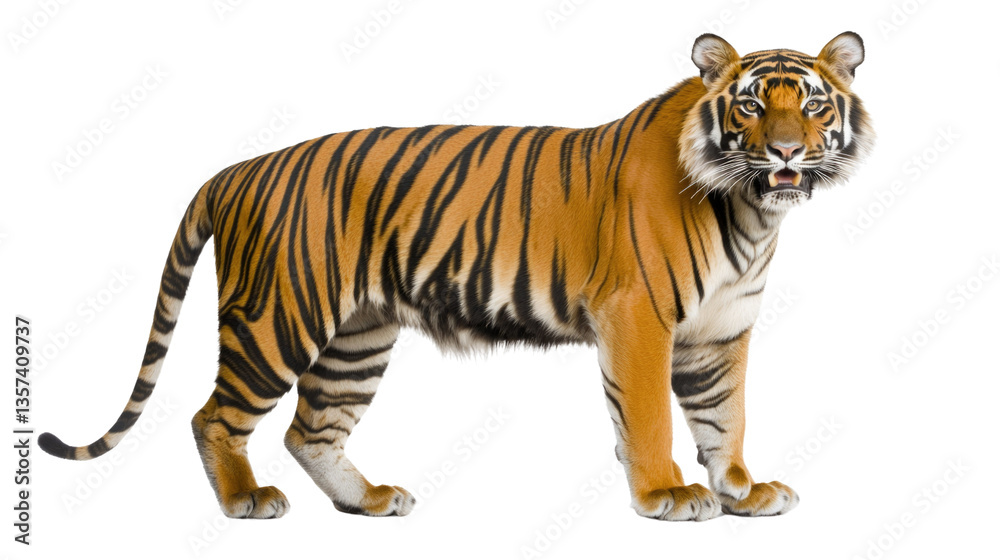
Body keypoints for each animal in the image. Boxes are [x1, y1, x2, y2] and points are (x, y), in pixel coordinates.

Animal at [40, 31, 873, 522]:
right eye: (752, 105)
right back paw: (247, 501)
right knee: (215, 416)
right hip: (278, 317)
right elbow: (648, 416)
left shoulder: (719, 331)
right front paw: (667, 493)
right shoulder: (639, 317)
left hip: (355, 339)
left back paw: (370, 500)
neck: (751, 212)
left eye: (812, 104)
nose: (788, 152)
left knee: (312, 431)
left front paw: (742, 489)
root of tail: (238, 169)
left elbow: (725, 416)